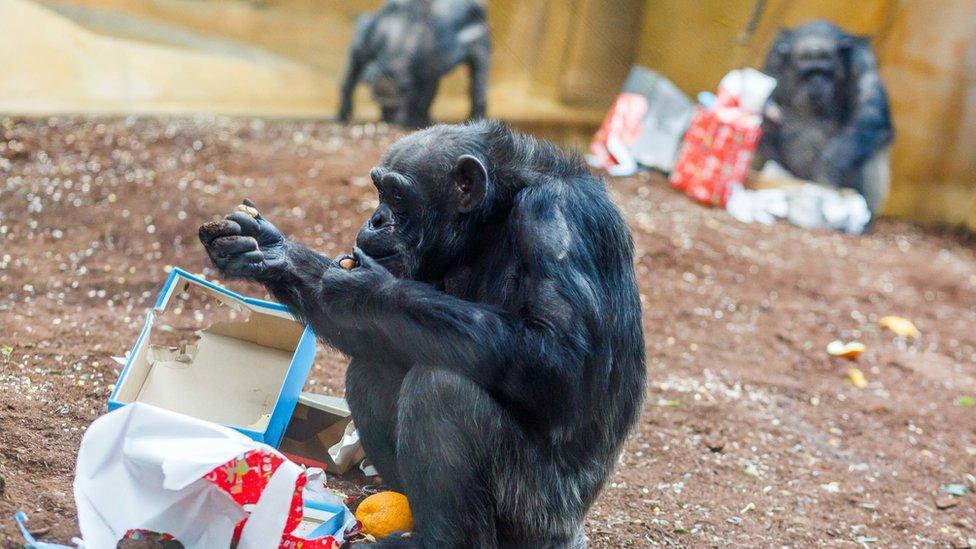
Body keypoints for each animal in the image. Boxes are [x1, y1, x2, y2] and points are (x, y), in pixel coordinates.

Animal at [198, 121, 648, 548]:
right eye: (379, 191)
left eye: (397, 197)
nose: (376, 219)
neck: (494, 216)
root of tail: (572, 531)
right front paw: (270, 250)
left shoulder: (556, 218)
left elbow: (563, 361)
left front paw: (369, 289)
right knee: (372, 368)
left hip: (536, 512)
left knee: (442, 389)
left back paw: (441, 539)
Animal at [338, 0, 492, 128]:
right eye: (380, 104)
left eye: (397, 104)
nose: (389, 117)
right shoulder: (366, 39)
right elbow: (351, 73)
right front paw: (341, 115)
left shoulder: (428, 63)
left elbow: (426, 91)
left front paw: (415, 120)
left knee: (478, 75)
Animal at [760, 19, 896, 213]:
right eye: (809, 71)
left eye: (825, 70)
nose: (817, 82)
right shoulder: (774, 58)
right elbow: (768, 99)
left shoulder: (862, 60)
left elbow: (869, 111)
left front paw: (827, 171)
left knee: (873, 141)